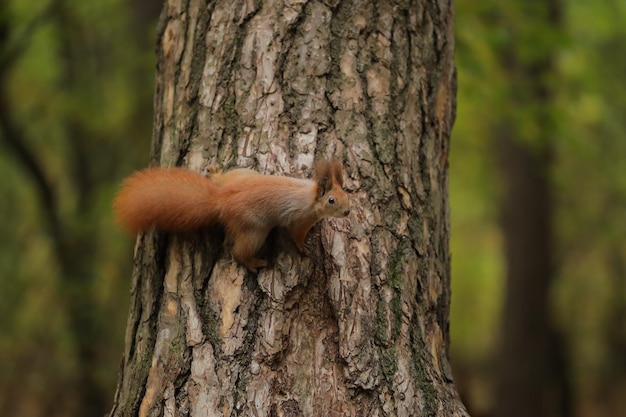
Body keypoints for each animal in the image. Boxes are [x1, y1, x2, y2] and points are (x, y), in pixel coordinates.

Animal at [111, 158, 346, 270]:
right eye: (331, 200)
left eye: (348, 193)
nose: (348, 211)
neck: (311, 197)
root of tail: (222, 200)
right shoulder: (299, 219)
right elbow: (296, 235)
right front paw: (303, 248)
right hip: (254, 229)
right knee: (239, 252)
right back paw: (254, 263)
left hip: (242, 175)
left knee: (223, 179)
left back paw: (215, 174)